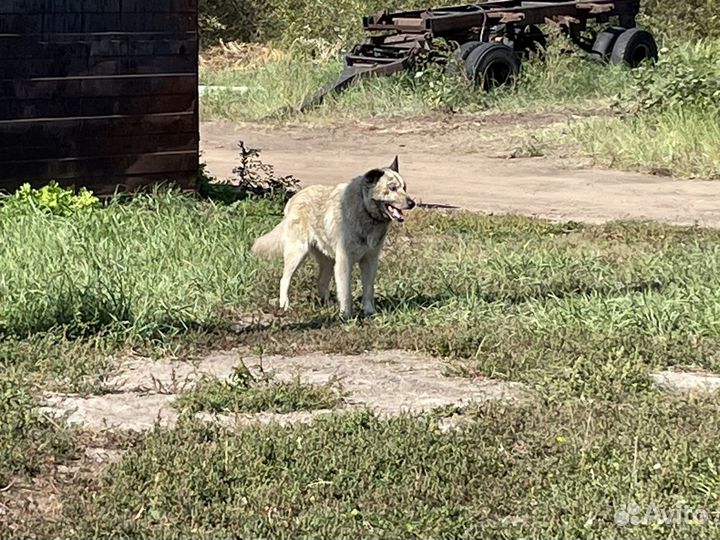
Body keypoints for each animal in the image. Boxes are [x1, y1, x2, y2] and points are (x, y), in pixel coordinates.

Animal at [250, 155, 414, 316]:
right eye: (392, 188)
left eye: (405, 188)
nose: (412, 203)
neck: (365, 210)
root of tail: (293, 199)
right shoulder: (344, 261)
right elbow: (345, 292)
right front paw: (346, 315)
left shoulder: (370, 261)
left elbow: (368, 289)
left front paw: (369, 312)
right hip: (297, 254)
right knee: (284, 280)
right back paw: (285, 305)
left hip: (327, 261)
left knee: (321, 283)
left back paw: (328, 306)